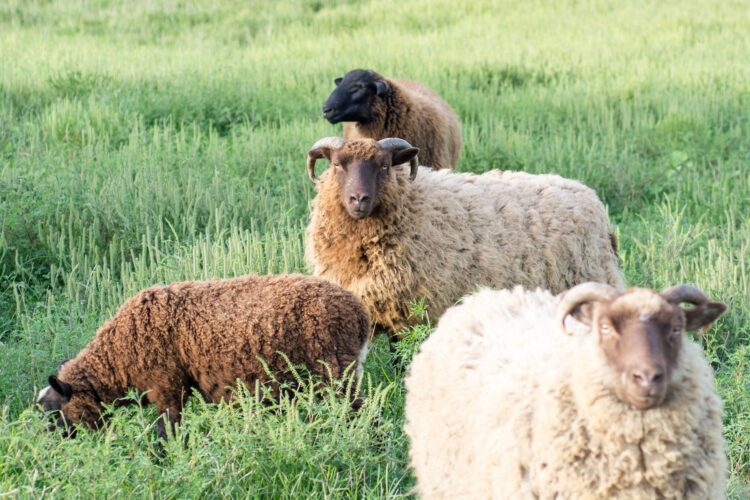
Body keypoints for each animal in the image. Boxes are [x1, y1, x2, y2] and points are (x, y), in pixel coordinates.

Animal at [36, 274, 371, 439]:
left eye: (54, 413)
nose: (48, 449)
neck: (118, 356)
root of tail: (359, 313)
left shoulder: (167, 388)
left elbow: (166, 433)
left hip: (336, 372)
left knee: (363, 414)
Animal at [304, 136, 625, 340]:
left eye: (384, 165)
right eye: (337, 165)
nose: (359, 199)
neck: (411, 204)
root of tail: (592, 199)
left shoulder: (409, 313)